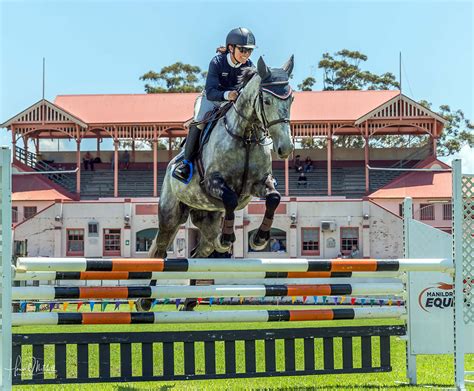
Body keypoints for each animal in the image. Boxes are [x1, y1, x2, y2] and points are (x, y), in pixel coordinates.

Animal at [136, 56, 292, 312]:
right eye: (267, 100)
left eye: (291, 99)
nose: (285, 148)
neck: (246, 135)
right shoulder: (212, 183)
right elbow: (229, 198)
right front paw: (228, 238)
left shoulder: (259, 183)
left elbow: (273, 198)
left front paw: (258, 239)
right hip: (171, 216)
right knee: (160, 250)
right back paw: (145, 300)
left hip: (207, 218)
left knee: (199, 252)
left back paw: (190, 301)